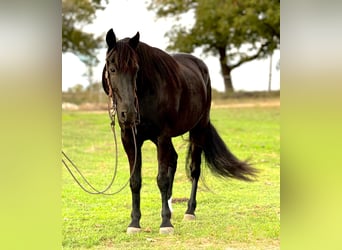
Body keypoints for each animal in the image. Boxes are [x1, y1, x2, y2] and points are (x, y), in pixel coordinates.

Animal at [102, 28, 256, 234]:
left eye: (136, 70)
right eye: (112, 69)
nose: (129, 113)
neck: (146, 94)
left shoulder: (162, 136)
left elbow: (161, 179)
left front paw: (165, 223)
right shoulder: (130, 138)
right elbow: (135, 180)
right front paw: (134, 223)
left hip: (198, 130)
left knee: (194, 170)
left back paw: (189, 211)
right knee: (173, 161)